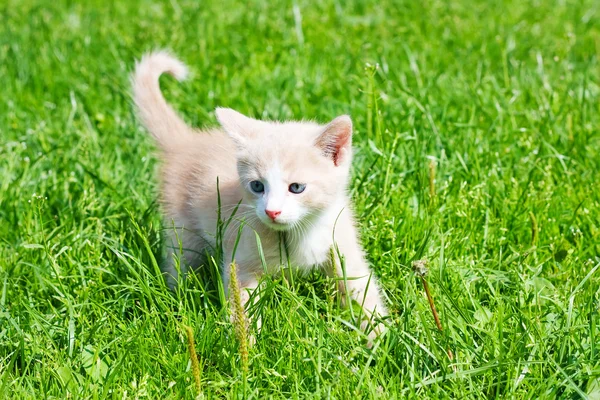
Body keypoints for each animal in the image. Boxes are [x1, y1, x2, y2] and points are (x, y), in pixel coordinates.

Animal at [130, 51, 390, 340]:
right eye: (257, 186)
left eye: (296, 188)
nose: (271, 211)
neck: (300, 232)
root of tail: (185, 142)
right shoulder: (242, 256)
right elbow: (242, 303)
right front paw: (245, 345)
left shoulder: (341, 241)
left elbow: (360, 289)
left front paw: (382, 338)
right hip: (183, 228)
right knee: (181, 261)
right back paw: (178, 300)